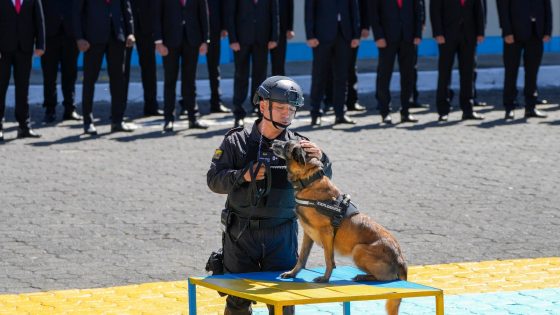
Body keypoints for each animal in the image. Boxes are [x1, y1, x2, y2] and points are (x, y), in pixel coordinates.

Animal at [272, 141, 406, 315]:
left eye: (287, 144)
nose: (274, 142)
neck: (309, 181)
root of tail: (400, 258)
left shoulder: (326, 233)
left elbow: (329, 260)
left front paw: (325, 278)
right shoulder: (308, 234)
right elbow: (302, 258)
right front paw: (292, 273)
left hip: (358, 249)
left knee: (386, 278)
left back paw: (363, 277)